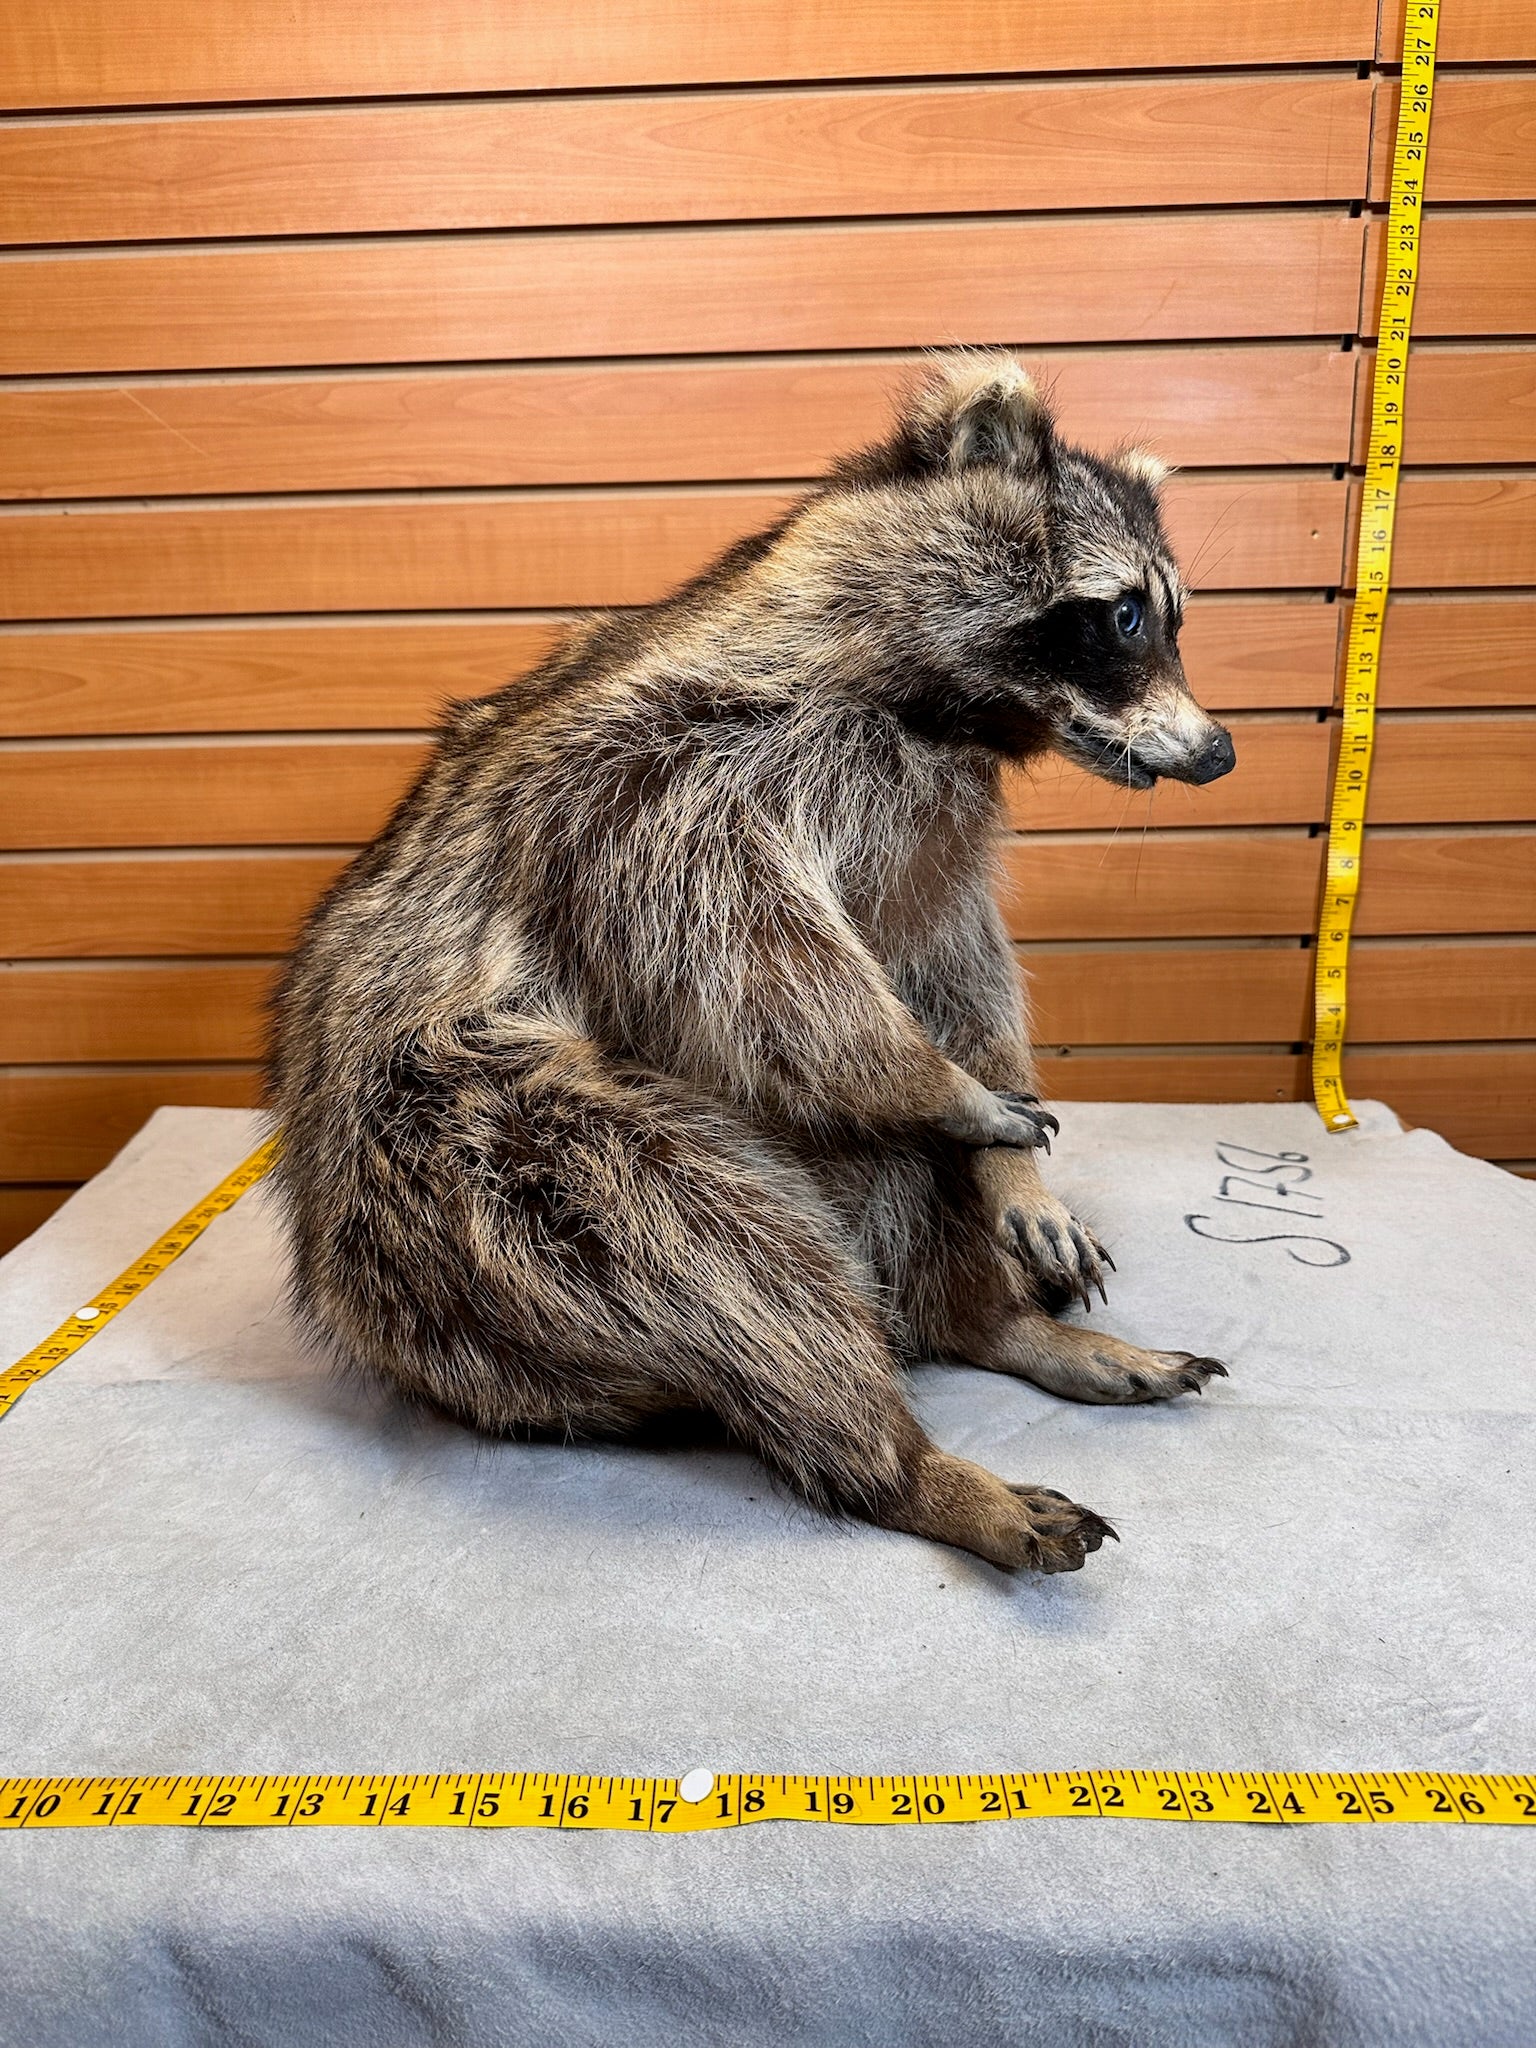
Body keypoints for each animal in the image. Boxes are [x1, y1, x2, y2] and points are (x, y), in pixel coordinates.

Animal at [268, 354, 1234, 1575]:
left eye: (1170, 616)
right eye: (1121, 615)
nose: (1221, 751)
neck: (937, 713)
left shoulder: (929, 829)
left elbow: (949, 962)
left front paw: (1010, 1160)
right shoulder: (656, 782)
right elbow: (755, 956)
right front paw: (932, 1081)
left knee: (881, 1196)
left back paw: (994, 1322)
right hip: (448, 1176)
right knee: (712, 1246)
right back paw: (905, 1462)